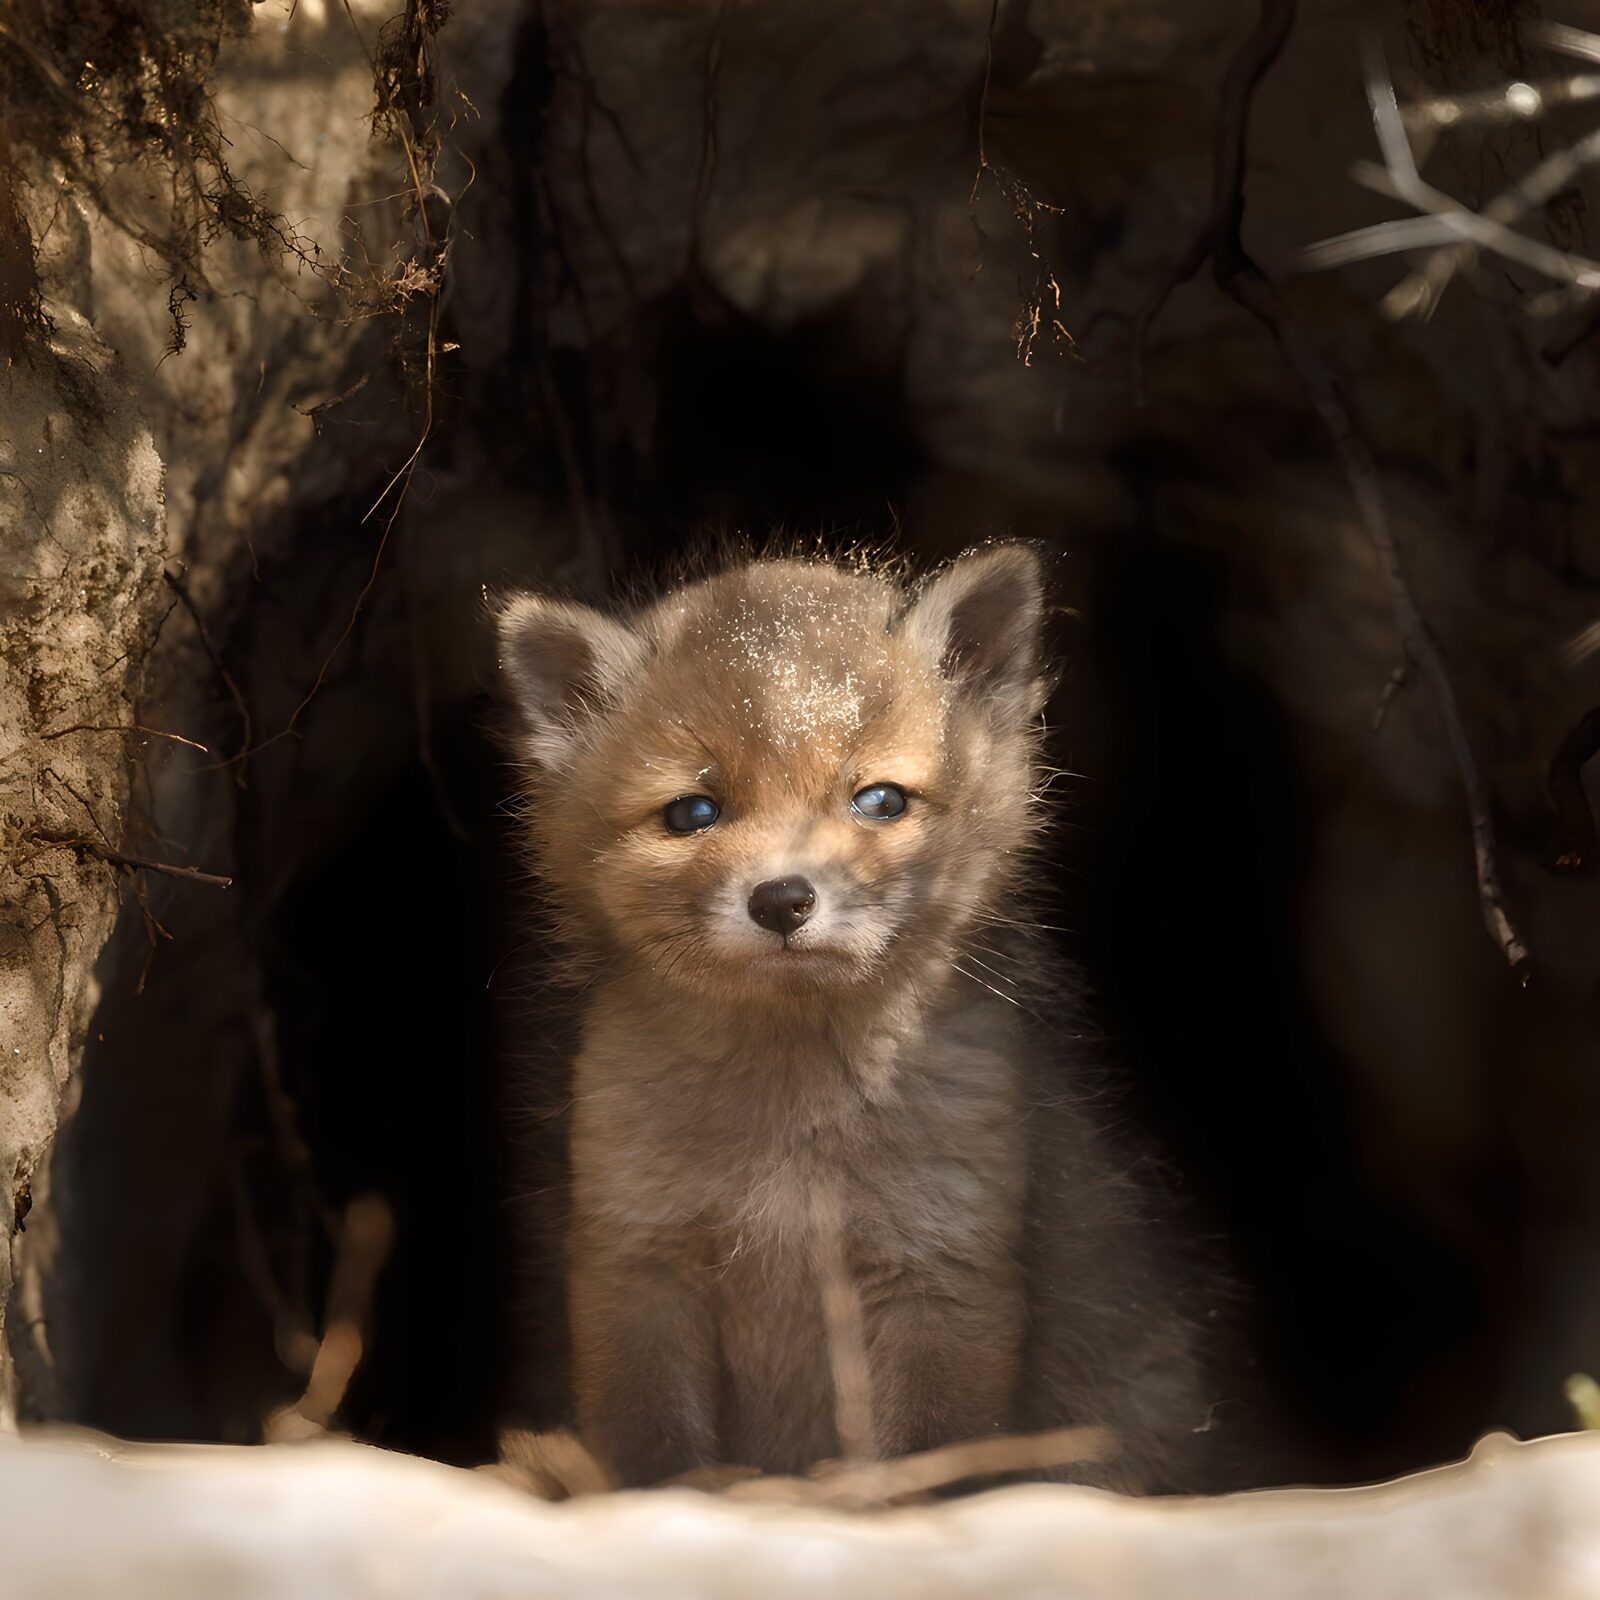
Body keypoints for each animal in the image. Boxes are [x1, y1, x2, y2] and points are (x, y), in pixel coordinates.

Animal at [495, 544, 1208, 1492]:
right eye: (692, 813)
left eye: (879, 801)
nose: (782, 900)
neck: (793, 1137)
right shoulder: (636, 1256)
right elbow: (654, 1444)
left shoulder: (943, 1265)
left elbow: (935, 1447)